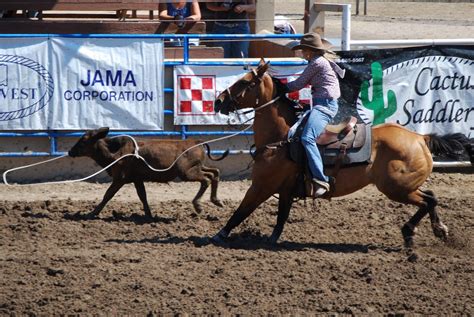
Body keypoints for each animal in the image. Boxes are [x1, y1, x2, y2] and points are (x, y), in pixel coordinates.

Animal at [67, 126, 229, 217]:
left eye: (83, 140)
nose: (70, 151)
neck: (116, 150)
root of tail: (197, 142)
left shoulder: (120, 178)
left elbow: (108, 195)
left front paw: (92, 213)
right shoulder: (137, 179)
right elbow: (142, 196)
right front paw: (148, 214)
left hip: (186, 172)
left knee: (206, 179)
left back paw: (198, 205)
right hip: (197, 167)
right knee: (214, 173)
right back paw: (216, 200)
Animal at [212, 59, 474, 247]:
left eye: (245, 82)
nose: (218, 101)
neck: (281, 138)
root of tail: (420, 138)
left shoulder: (261, 186)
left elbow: (241, 211)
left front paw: (218, 235)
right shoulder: (284, 190)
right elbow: (280, 218)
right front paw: (272, 240)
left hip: (396, 187)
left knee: (427, 200)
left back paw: (410, 232)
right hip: (406, 185)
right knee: (431, 196)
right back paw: (437, 229)